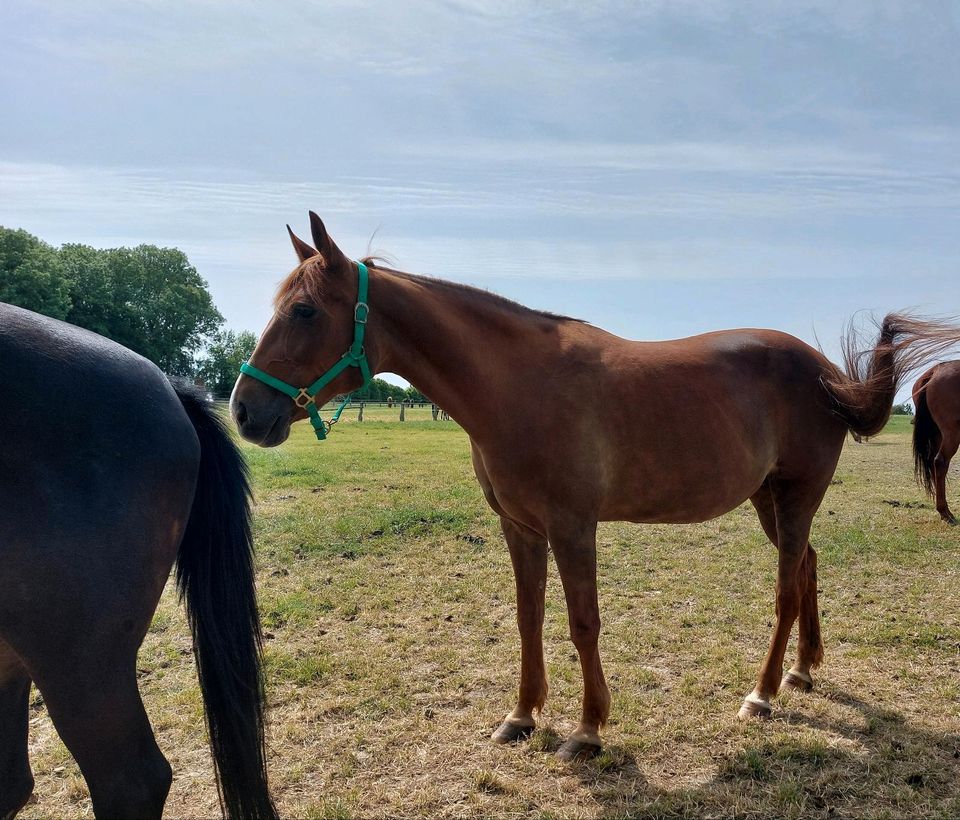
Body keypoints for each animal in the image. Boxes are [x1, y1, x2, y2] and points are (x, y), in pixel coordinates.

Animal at [912, 360, 956, 524]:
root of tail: (934, 371)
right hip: (951, 433)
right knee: (940, 462)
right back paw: (945, 512)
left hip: (938, 434)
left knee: (933, 463)